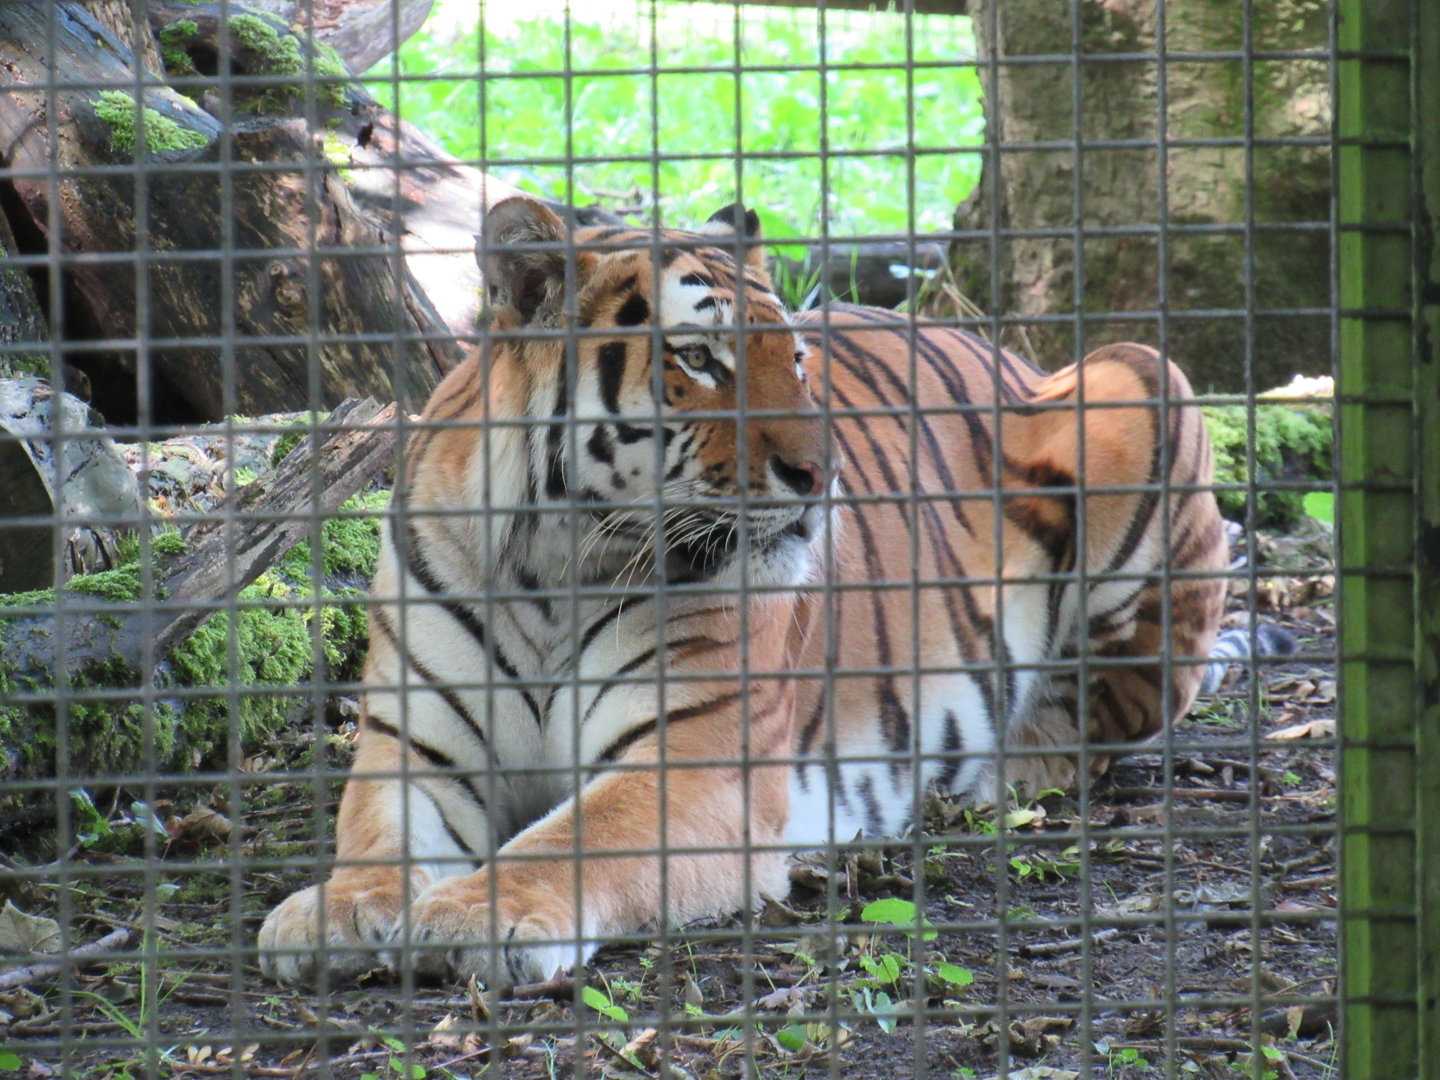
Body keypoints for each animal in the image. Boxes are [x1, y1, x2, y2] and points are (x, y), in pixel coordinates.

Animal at [258, 197, 1234, 988]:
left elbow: (572, 839)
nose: (822, 473)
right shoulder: (414, 746)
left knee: (1098, 722)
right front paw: (336, 910)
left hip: (1140, 380)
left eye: (795, 358)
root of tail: (1002, 351)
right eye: (699, 358)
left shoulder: (693, 767)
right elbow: (378, 835)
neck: (550, 568)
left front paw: (475, 913)